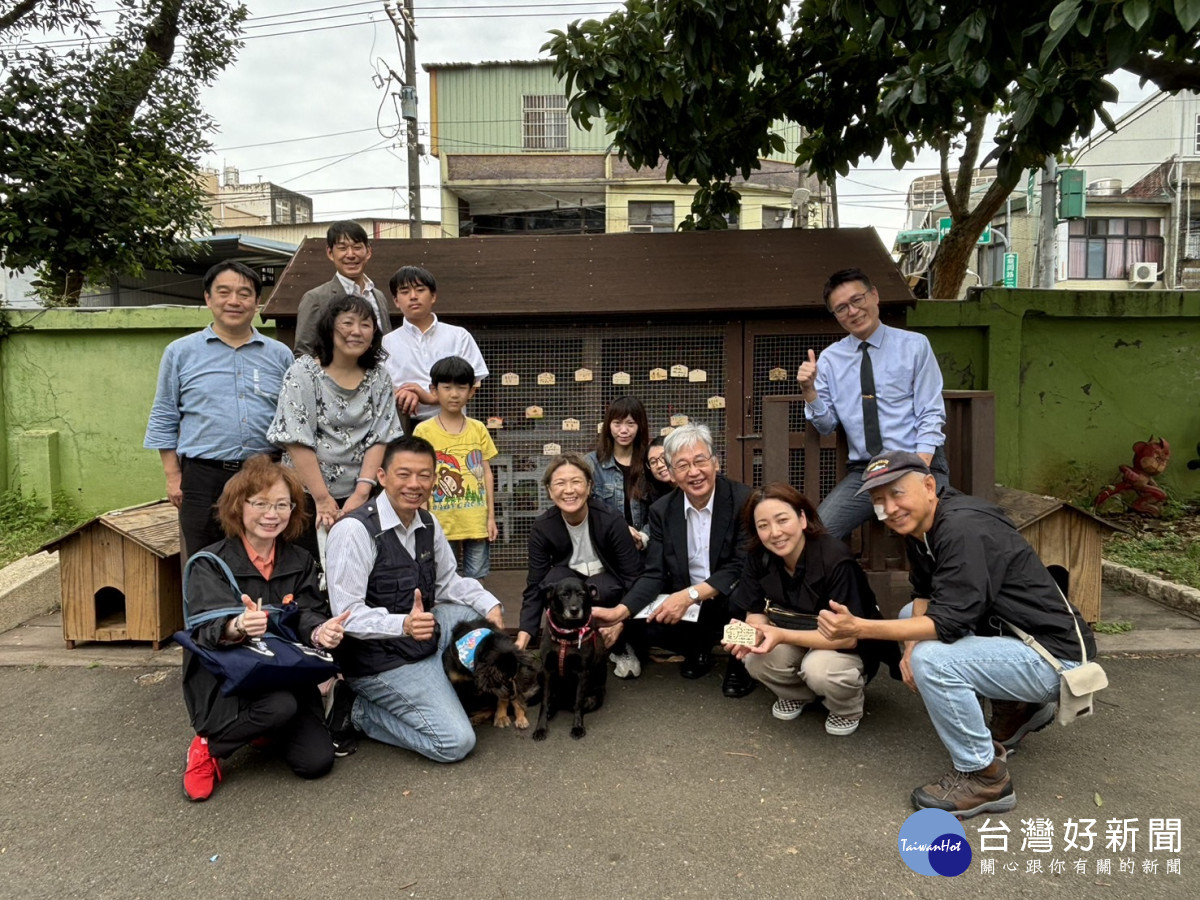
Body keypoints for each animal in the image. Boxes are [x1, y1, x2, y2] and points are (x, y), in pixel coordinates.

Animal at [537, 573, 609, 744]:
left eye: (582, 594)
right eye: (564, 595)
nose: (574, 610)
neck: (566, 633)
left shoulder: (582, 673)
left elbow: (578, 703)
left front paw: (577, 727)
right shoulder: (547, 671)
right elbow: (544, 701)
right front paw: (541, 728)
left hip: (594, 697)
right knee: (552, 700)